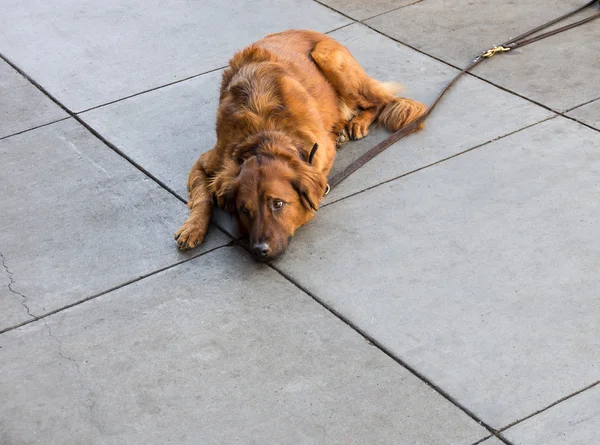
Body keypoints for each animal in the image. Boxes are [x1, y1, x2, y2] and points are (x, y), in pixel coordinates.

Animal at [175, 29, 426, 260]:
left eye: (278, 204)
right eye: (244, 210)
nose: (259, 251)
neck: (264, 132)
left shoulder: (319, 153)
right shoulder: (209, 162)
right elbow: (202, 197)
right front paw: (193, 227)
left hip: (328, 58)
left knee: (381, 101)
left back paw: (358, 123)